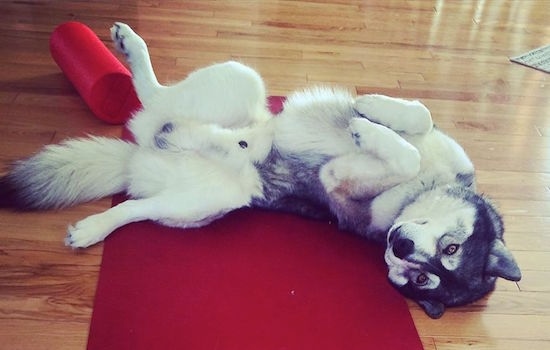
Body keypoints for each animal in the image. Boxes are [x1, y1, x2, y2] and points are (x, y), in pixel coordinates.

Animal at [0, 21, 520, 318]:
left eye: (419, 279)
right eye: (449, 248)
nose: (401, 245)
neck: (421, 189)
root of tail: (139, 155)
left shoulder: (340, 180)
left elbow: (400, 154)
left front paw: (367, 130)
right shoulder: (444, 151)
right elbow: (421, 120)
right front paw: (372, 110)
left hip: (205, 201)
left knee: (136, 199)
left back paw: (99, 222)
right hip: (238, 79)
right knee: (155, 97)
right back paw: (136, 53)